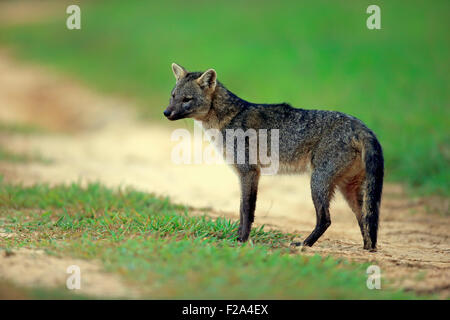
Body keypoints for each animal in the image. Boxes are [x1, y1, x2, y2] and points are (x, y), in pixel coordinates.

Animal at [163, 63, 384, 252]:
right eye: (173, 96)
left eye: (187, 99)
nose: (166, 112)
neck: (229, 118)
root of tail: (359, 125)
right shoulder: (247, 174)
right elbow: (243, 208)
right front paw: (237, 237)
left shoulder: (249, 172)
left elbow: (246, 209)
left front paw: (242, 239)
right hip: (349, 190)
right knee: (365, 219)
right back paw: (368, 248)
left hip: (318, 182)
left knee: (326, 219)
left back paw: (305, 244)